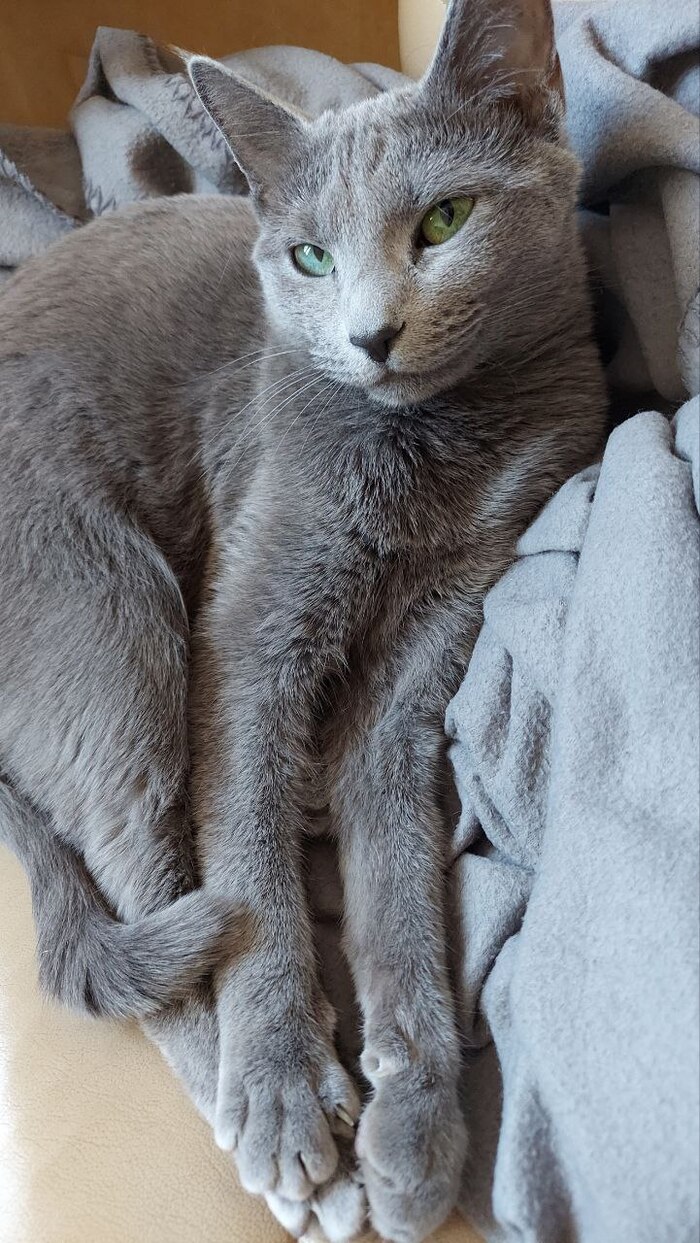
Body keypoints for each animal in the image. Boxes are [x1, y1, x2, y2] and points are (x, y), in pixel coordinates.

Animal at [0, 0, 607, 1239]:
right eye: (310, 258)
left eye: (445, 219)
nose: (371, 333)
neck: (433, 460)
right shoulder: (243, 641)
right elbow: (248, 859)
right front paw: (285, 1092)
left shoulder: (436, 635)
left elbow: (399, 870)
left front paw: (415, 1123)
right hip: (110, 615)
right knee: (156, 894)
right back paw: (277, 1141)